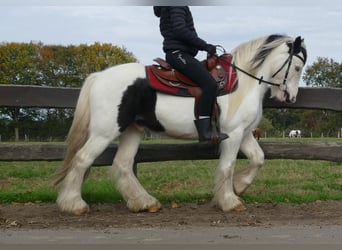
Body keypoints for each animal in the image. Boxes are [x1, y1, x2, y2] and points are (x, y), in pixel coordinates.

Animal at [54, 34, 308, 215]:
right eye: (297, 67)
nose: (290, 97)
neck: (242, 82)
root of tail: (98, 76)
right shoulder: (233, 134)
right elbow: (227, 166)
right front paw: (229, 201)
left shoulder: (244, 133)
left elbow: (258, 158)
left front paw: (239, 186)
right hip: (104, 132)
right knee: (83, 159)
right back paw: (73, 204)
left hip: (132, 131)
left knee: (123, 164)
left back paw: (144, 202)